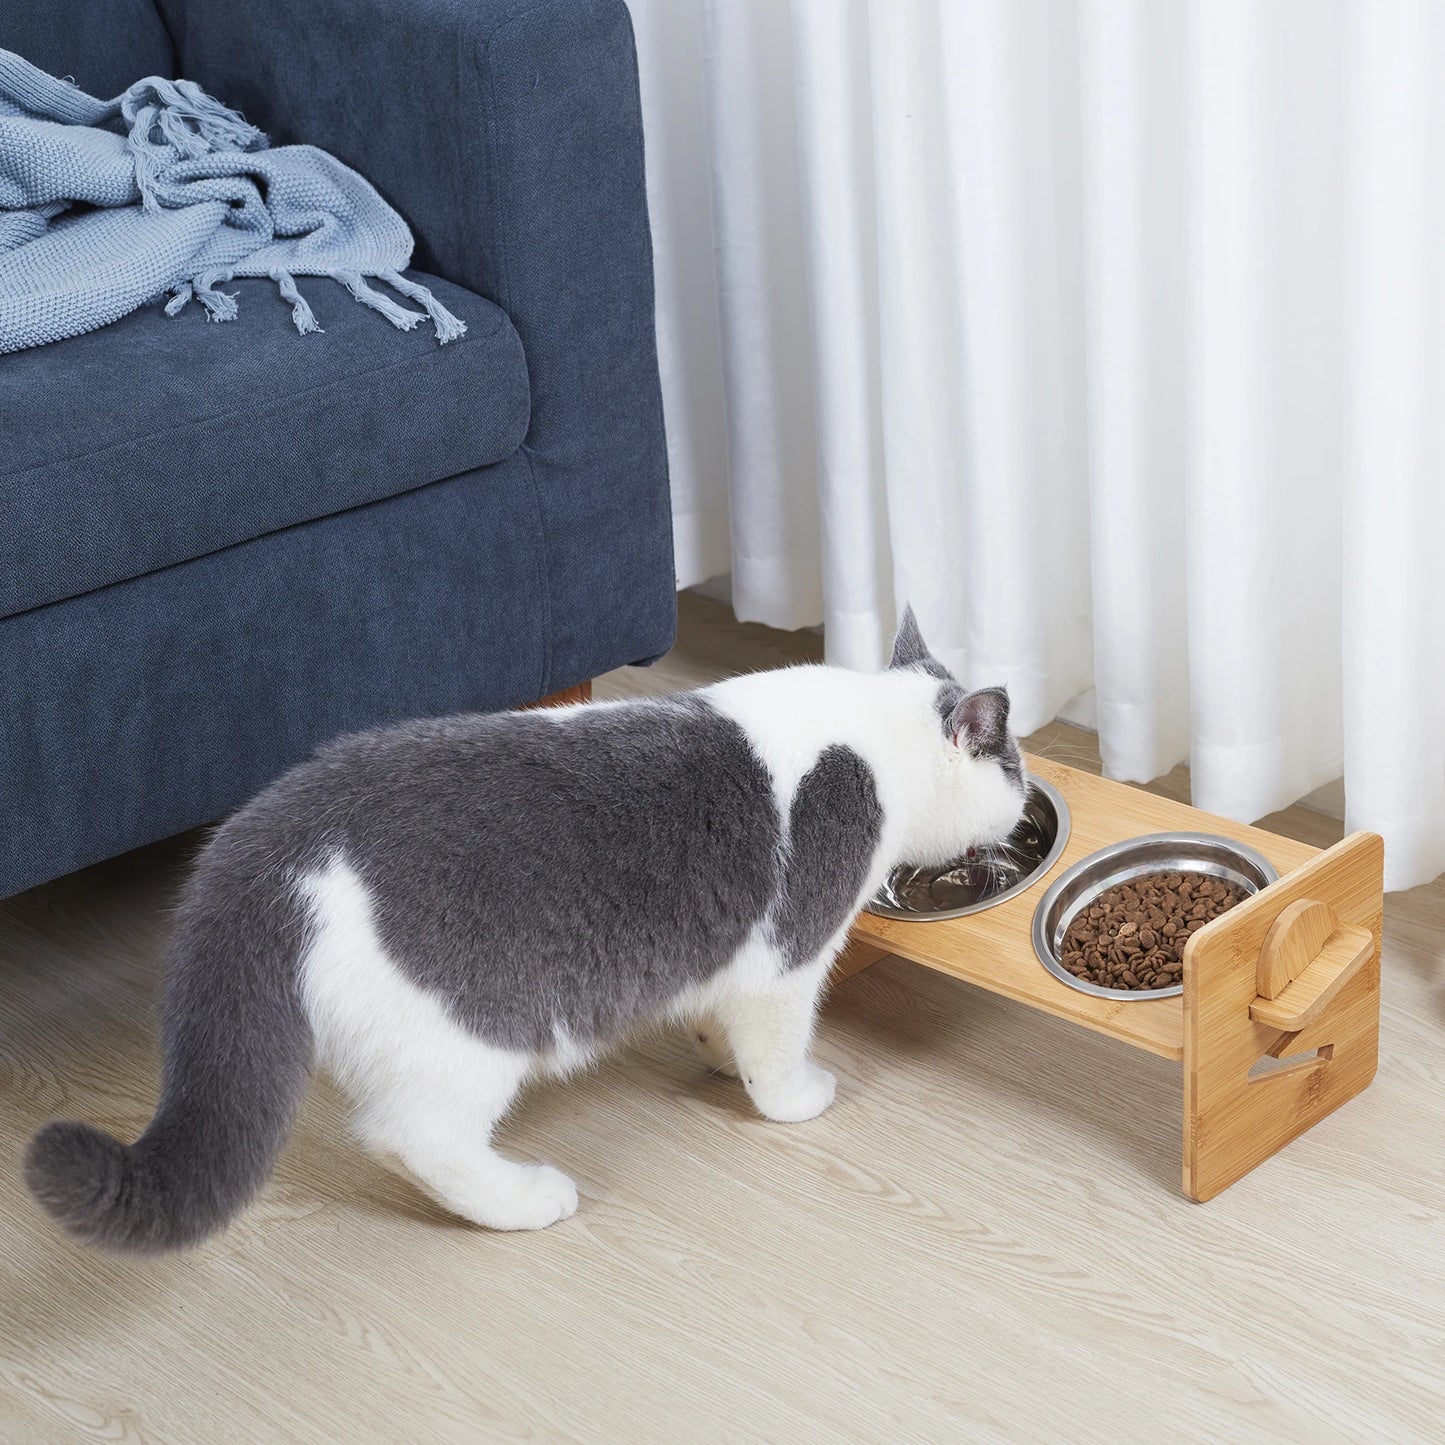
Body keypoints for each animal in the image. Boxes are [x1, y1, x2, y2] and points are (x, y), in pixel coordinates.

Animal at [22, 604, 1023, 1248]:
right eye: (1012, 764)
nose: (1018, 808)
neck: (871, 735)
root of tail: (268, 831)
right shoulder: (787, 955)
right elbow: (775, 1047)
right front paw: (792, 1097)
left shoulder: (728, 959)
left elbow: (712, 1009)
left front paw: (710, 1054)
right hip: (469, 1029)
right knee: (411, 1135)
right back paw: (526, 1198)